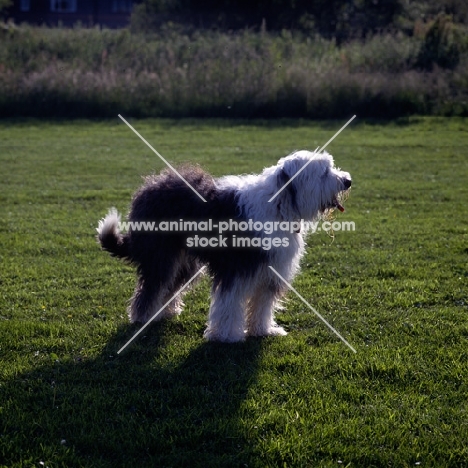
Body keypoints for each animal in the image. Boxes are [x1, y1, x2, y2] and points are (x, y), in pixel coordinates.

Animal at [97, 152, 350, 342]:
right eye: (324, 172)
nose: (348, 181)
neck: (280, 204)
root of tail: (149, 186)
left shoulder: (270, 271)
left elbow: (263, 304)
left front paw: (263, 330)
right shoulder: (236, 268)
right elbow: (229, 302)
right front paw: (227, 336)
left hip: (184, 261)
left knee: (169, 285)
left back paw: (166, 311)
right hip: (162, 254)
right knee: (152, 285)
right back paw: (143, 317)